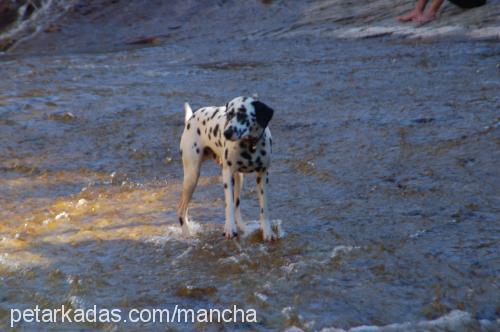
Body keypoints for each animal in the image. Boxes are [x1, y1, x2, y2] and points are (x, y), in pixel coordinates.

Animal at [177, 96, 278, 241]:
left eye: (242, 114)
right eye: (229, 115)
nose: (226, 133)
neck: (250, 146)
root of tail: (191, 118)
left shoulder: (263, 175)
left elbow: (264, 208)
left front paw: (267, 232)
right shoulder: (227, 174)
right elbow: (228, 204)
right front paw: (229, 228)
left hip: (239, 179)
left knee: (237, 206)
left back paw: (243, 228)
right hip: (192, 177)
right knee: (181, 210)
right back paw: (187, 234)